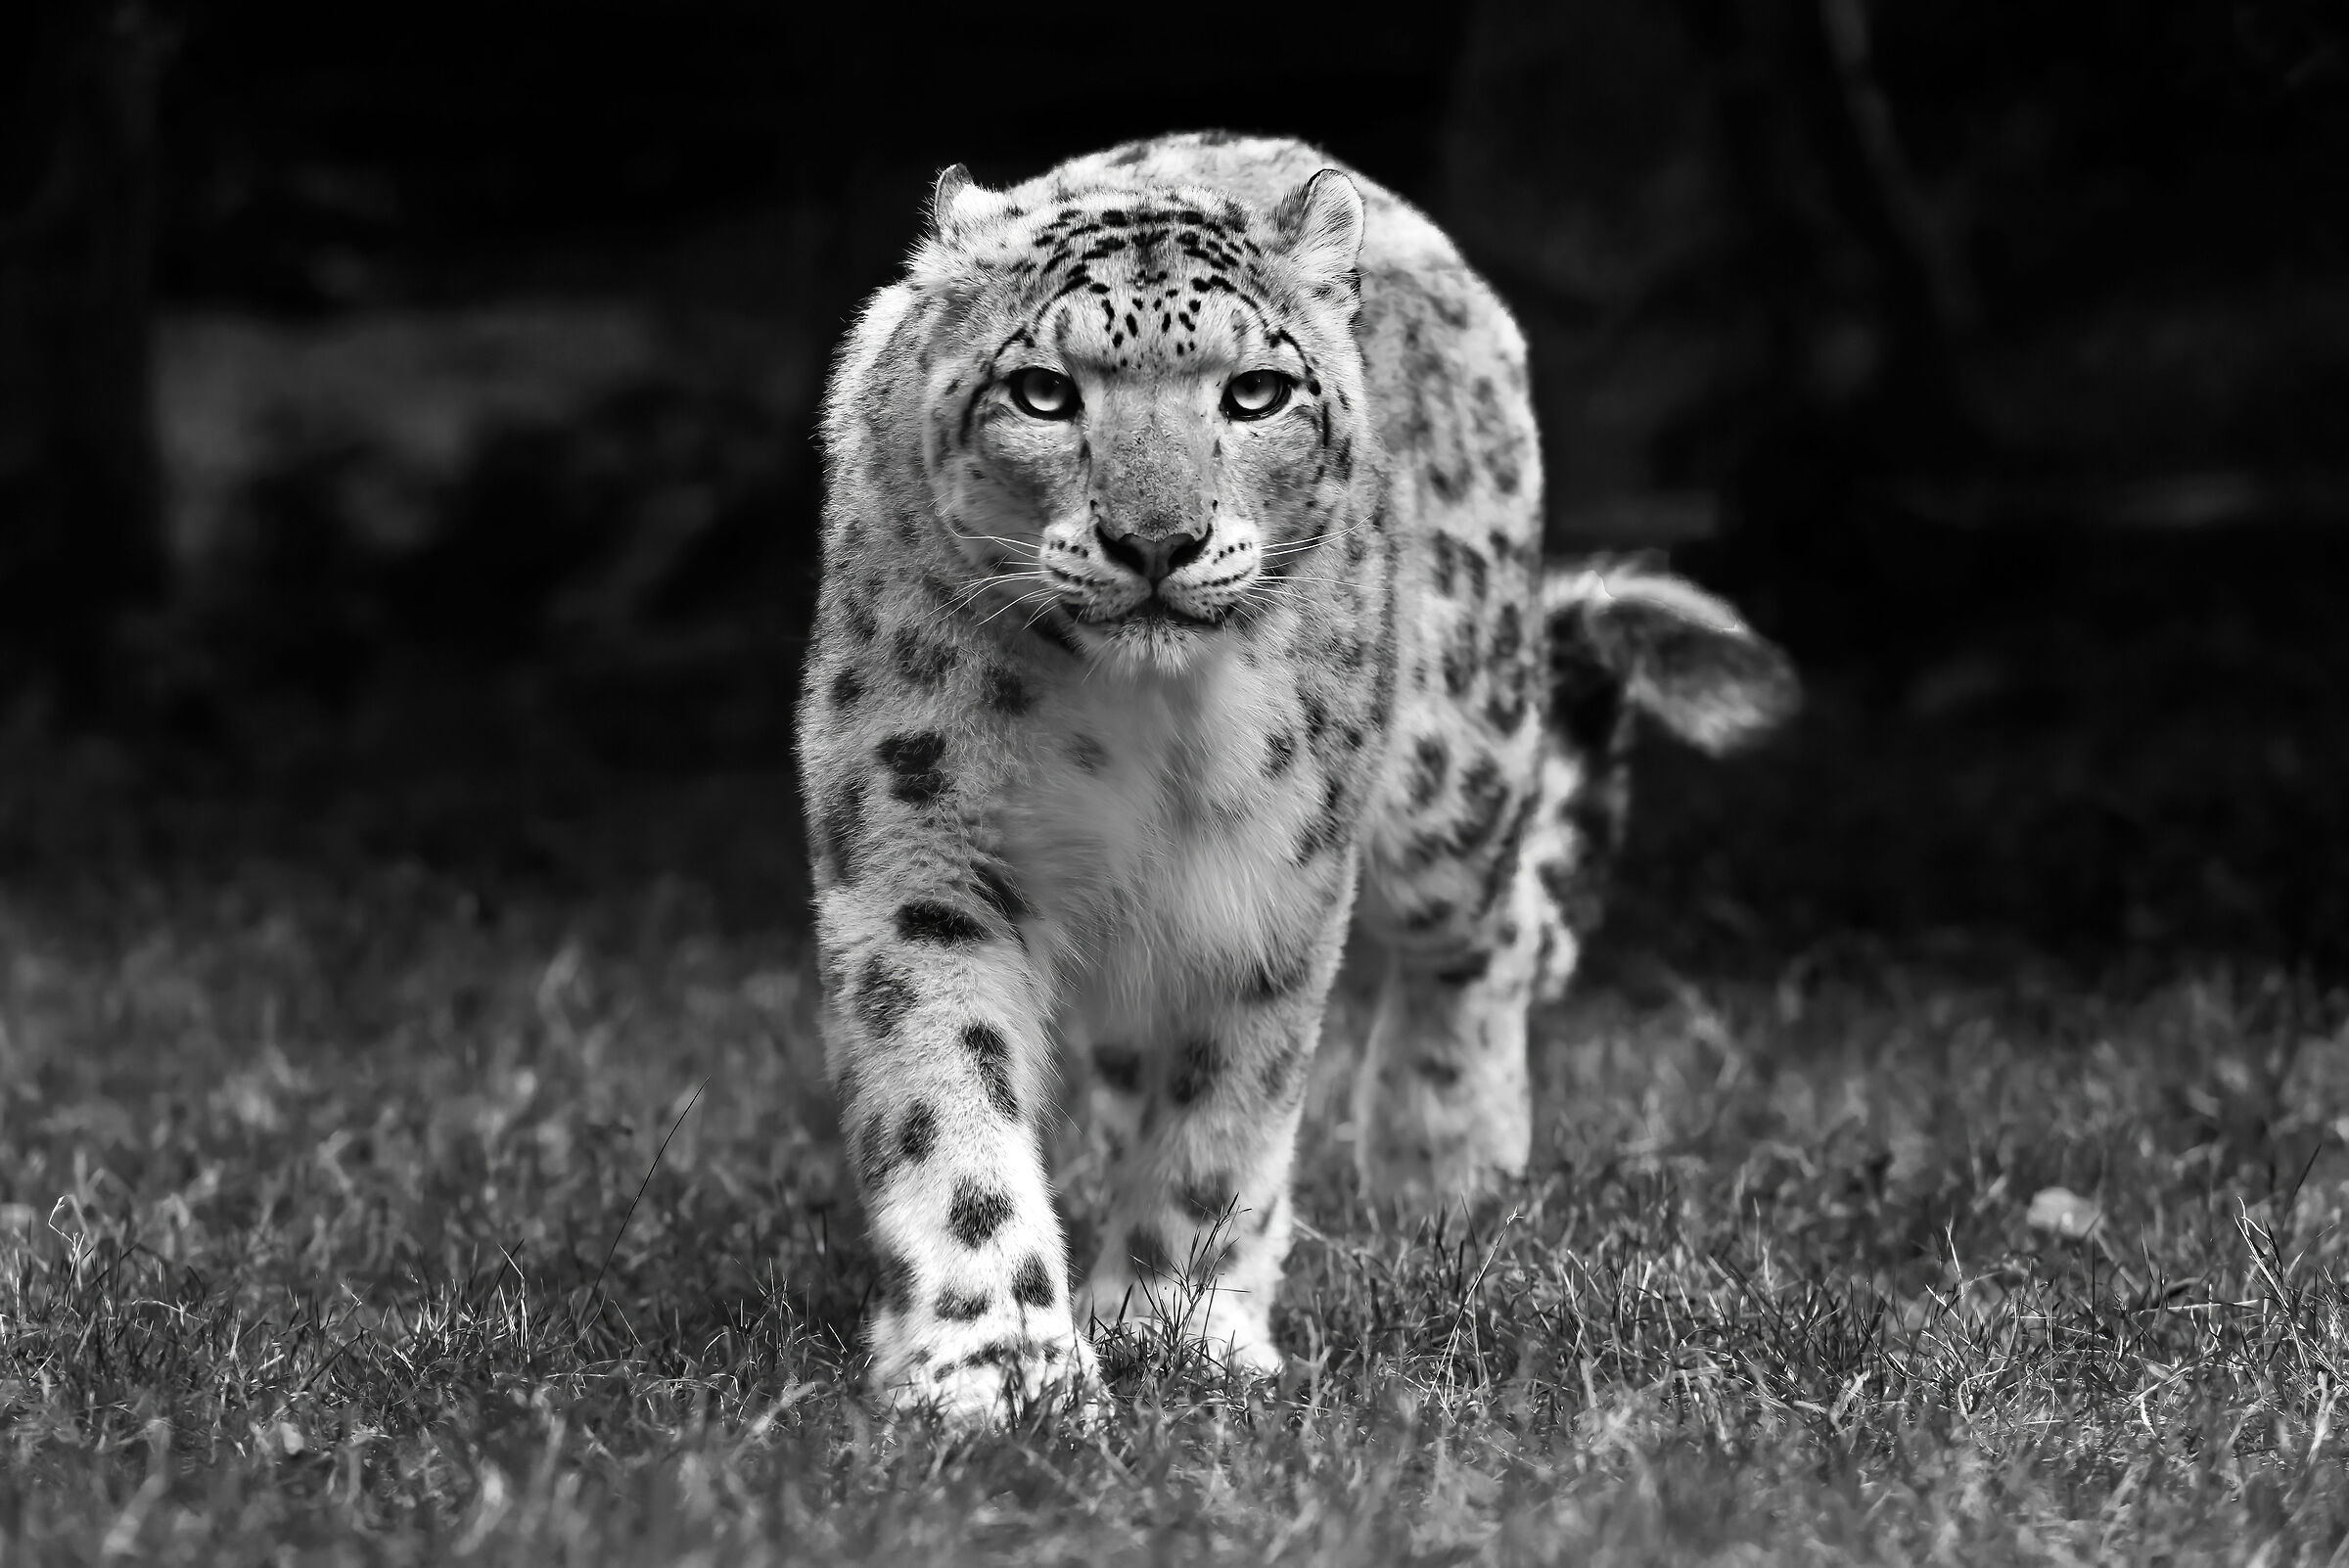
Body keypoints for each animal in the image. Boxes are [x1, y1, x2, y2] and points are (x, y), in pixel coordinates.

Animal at [796, 131, 1798, 1428]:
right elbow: (949, 1100)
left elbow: (1227, 1114)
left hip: (1455, 764)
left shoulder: (1270, 877)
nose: (1156, 540)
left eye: (1256, 393)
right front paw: (1003, 1366)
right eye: (1044, 393)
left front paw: (1174, 1330)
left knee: (1491, 934)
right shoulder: (920, 849)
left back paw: (1443, 1164)